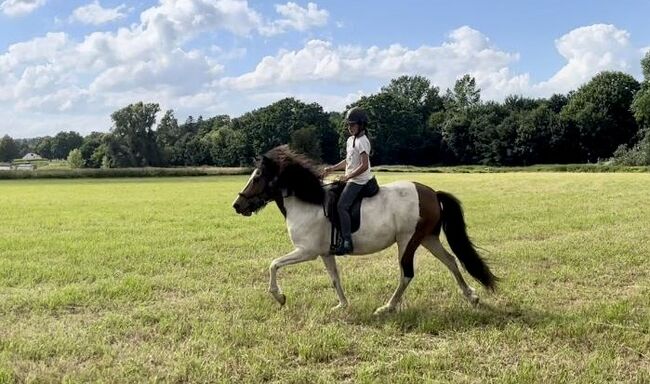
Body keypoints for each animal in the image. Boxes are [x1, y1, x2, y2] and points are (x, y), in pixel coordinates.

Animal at [233, 146, 496, 314]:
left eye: (257, 178)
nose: (237, 205)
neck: (308, 202)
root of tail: (431, 192)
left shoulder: (306, 251)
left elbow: (273, 264)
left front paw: (279, 296)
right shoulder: (325, 253)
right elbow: (335, 278)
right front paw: (342, 305)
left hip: (407, 241)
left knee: (407, 274)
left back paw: (387, 307)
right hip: (428, 239)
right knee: (451, 261)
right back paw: (472, 296)